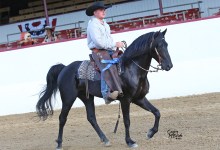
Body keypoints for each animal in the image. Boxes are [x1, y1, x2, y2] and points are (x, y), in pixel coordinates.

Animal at [36, 28, 174, 149]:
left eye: (166, 44)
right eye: (158, 45)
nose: (169, 65)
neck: (131, 69)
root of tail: (64, 68)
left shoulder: (139, 98)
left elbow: (157, 112)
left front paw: (150, 133)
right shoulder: (126, 99)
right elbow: (127, 120)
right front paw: (130, 141)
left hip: (86, 97)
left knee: (91, 117)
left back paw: (105, 139)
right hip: (68, 98)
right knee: (62, 118)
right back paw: (59, 143)